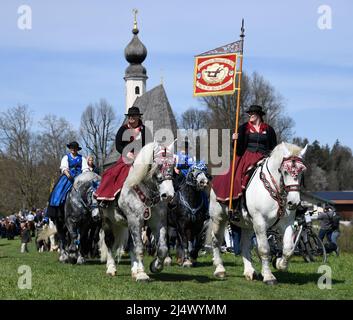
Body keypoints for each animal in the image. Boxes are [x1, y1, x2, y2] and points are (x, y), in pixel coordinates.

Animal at [99, 142, 174, 280]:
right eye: (159, 165)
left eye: (173, 165)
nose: (168, 195)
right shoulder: (135, 221)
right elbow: (139, 248)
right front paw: (142, 274)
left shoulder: (158, 222)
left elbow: (162, 249)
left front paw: (155, 267)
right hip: (107, 221)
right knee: (109, 243)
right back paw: (111, 268)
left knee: (130, 245)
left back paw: (134, 270)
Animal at [206, 142, 306, 284]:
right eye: (285, 171)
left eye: (302, 171)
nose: (294, 203)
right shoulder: (260, 223)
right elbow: (264, 249)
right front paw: (269, 277)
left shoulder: (287, 224)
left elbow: (288, 249)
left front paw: (280, 264)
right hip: (218, 218)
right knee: (216, 241)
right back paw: (220, 270)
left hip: (247, 225)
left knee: (245, 245)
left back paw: (250, 271)